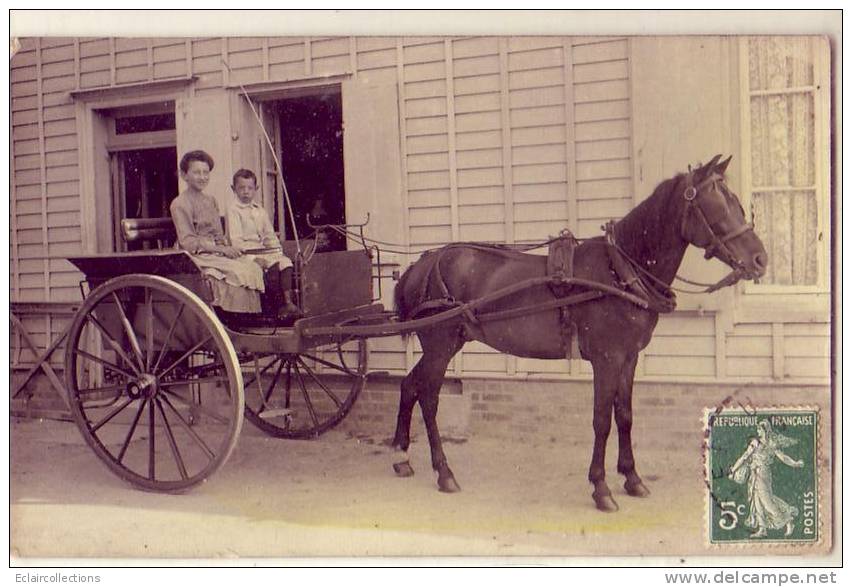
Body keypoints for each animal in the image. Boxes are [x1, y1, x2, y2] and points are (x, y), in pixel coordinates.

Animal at [390, 154, 768, 512]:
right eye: (717, 204)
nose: (760, 259)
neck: (621, 271)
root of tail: (422, 264)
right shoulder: (606, 358)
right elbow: (602, 420)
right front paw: (601, 488)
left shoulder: (628, 357)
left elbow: (625, 415)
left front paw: (632, 478)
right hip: (440, 346)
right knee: (429, 398)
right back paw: (444, 472)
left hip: (443, 345)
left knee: (409, 385)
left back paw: (402, 457)